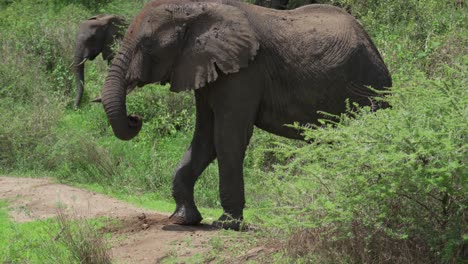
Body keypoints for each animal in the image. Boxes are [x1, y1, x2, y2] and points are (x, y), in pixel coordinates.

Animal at [98, 0, 392, 229]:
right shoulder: (205, 67)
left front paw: (226, 224)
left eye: (148, 45)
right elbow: (205, 138)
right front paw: (183, 219)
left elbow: (228, 138)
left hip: (368, 87)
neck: (196, 9)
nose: (135, 118)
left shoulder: (245, 72)